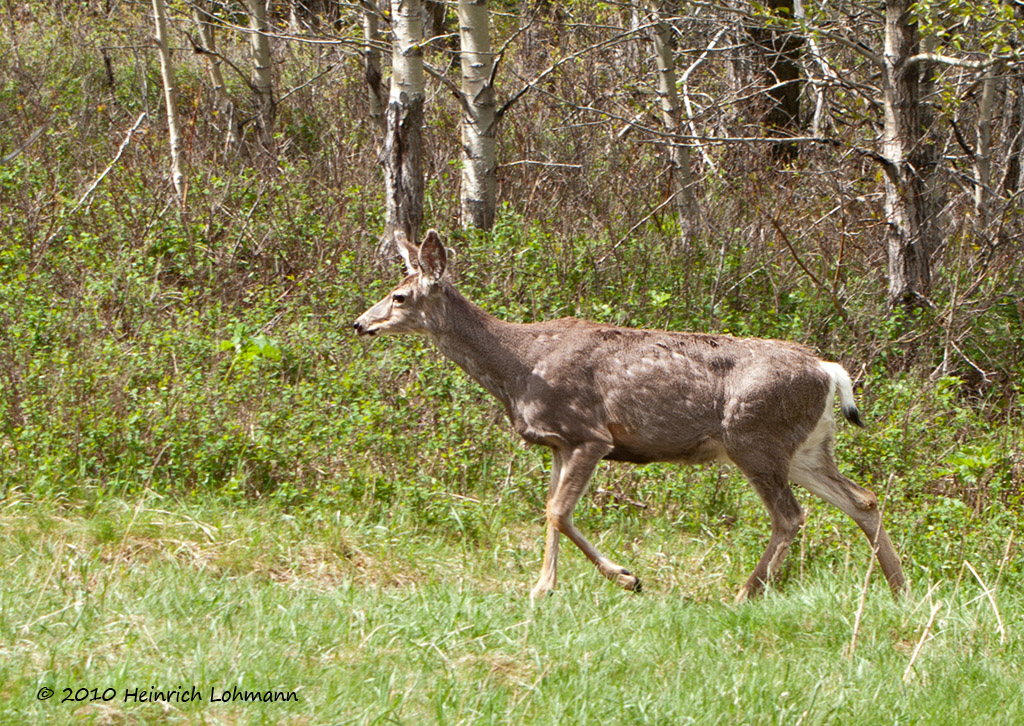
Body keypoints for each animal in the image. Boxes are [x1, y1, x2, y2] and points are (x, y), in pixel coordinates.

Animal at [352, 228, 905, 602]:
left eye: (399, 295)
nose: (360, 323)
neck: (520, 365)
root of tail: (828, 369)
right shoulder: (559, 443)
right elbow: (553, 509)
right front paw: (576, 582)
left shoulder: (589, 433)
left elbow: (557, 511)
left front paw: (589, 582)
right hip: (807, 447)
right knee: (863, 499)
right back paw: (900, 588)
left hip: (755, 437)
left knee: (790, 516)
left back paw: (745, 592)